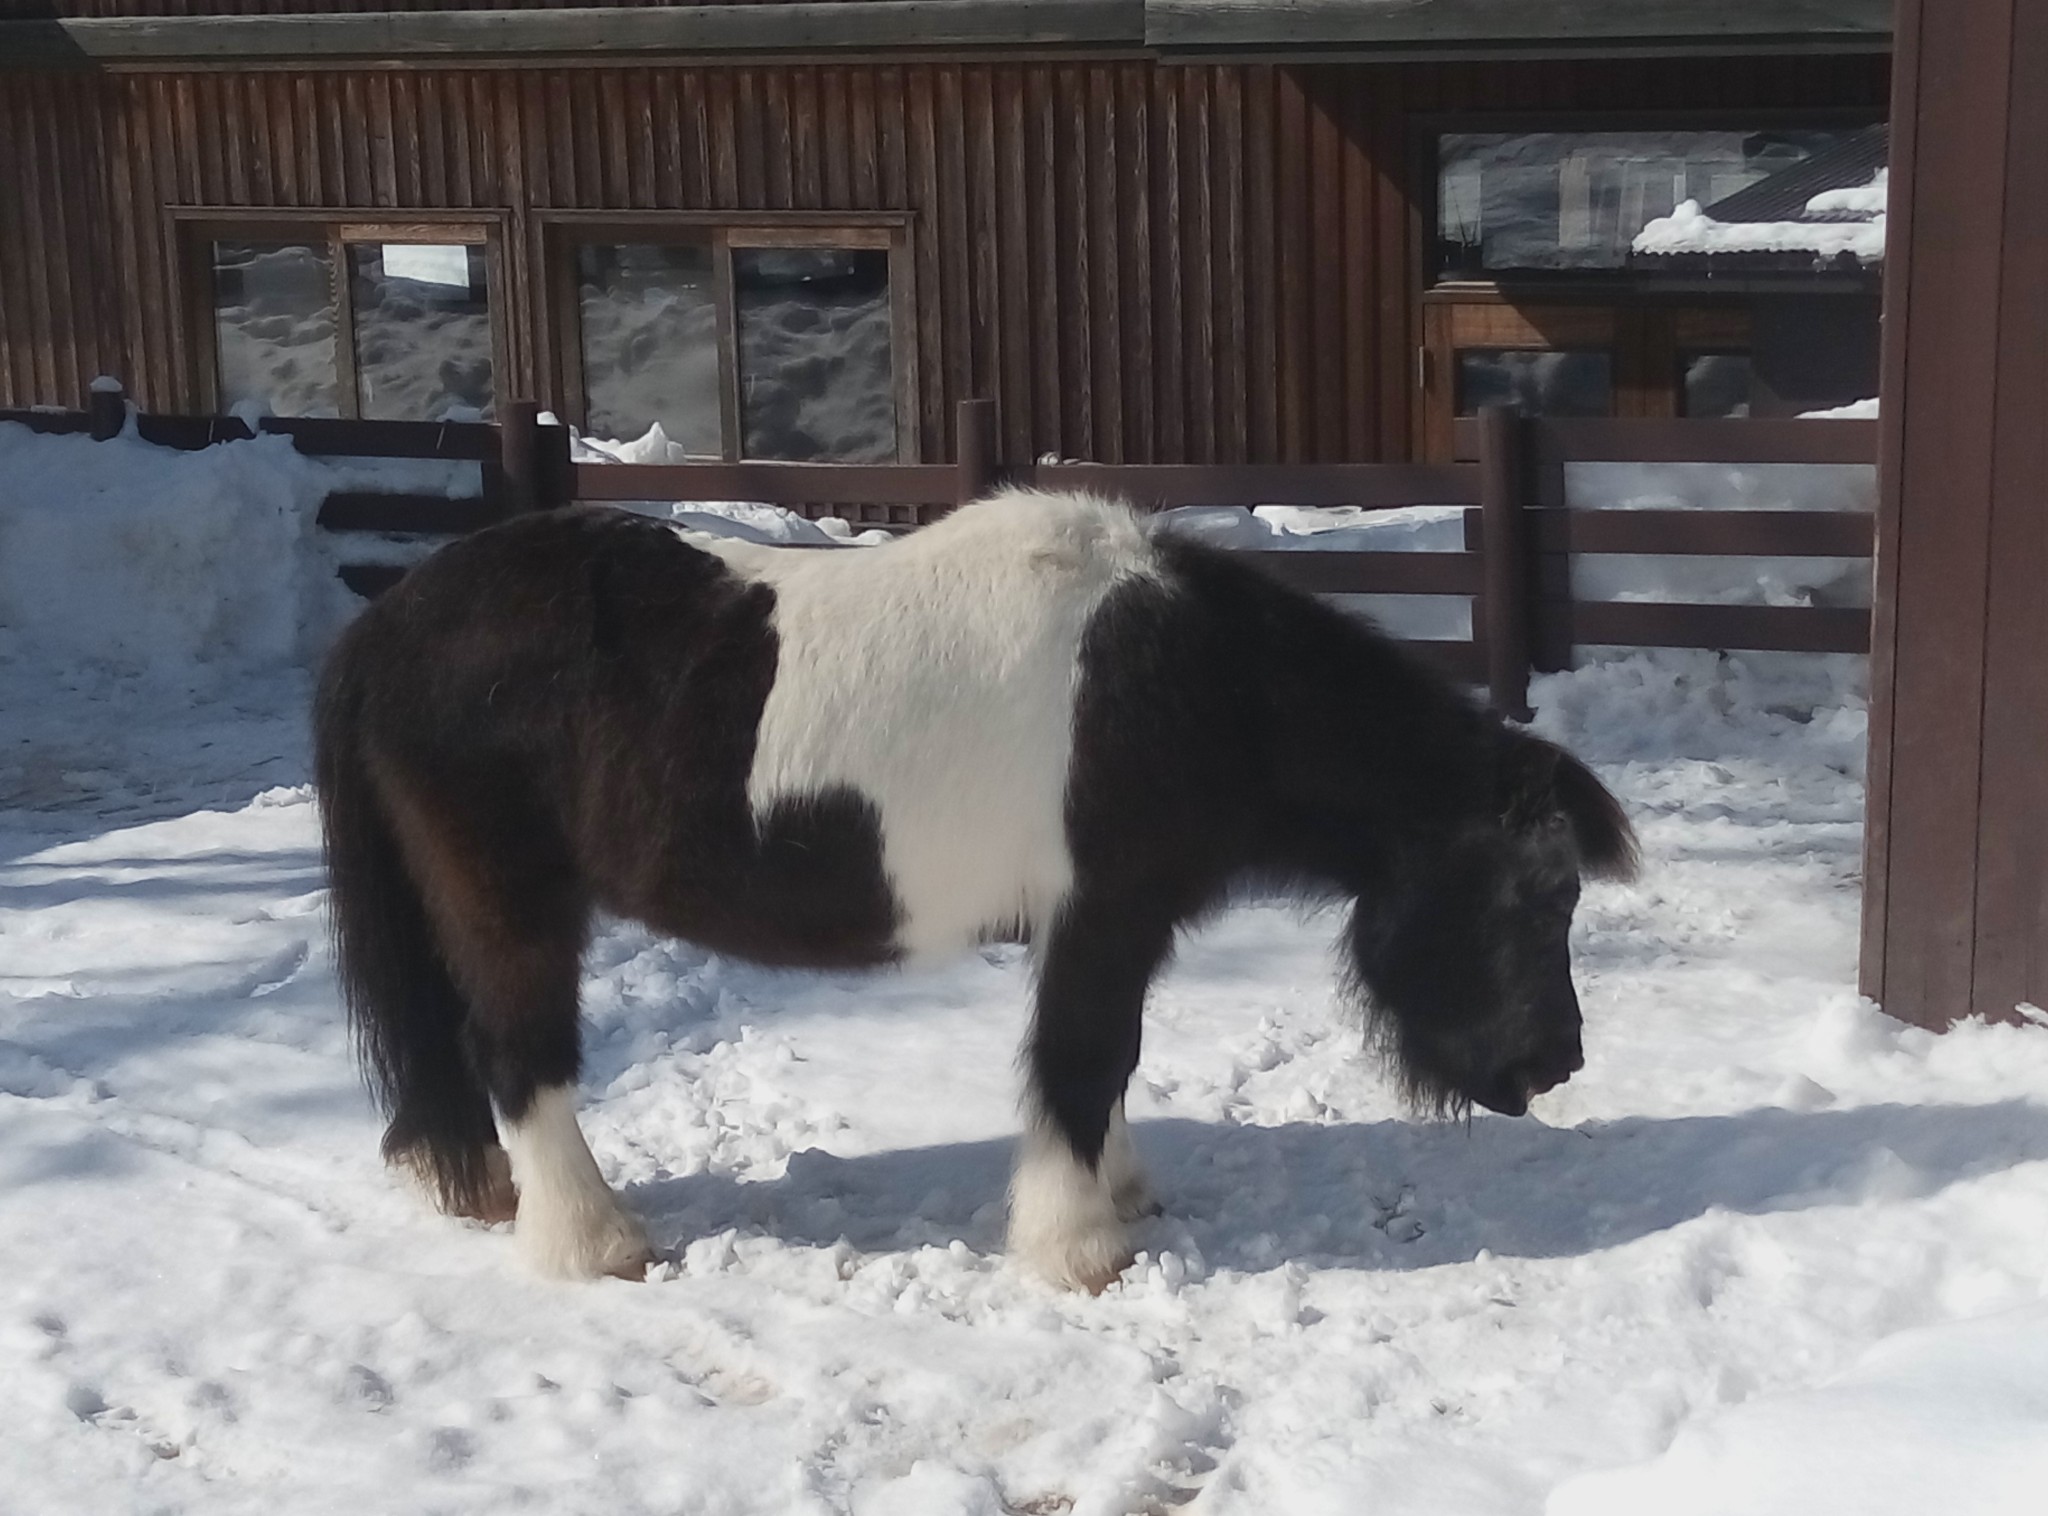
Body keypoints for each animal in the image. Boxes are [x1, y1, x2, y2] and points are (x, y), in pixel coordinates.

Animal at [315, 487, 1630, 1294]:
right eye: (1542, 896)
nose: (1556, 1061)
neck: (1188, 683)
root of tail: (391, 620)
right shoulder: (1105, 911)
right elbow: (1084, 1062)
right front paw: (1077, 1248)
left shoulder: (1100, 924)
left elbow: (1101, 1066)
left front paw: (1114, 1195)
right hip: (512, 902)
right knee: (518, 1055)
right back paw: (594, 1242)